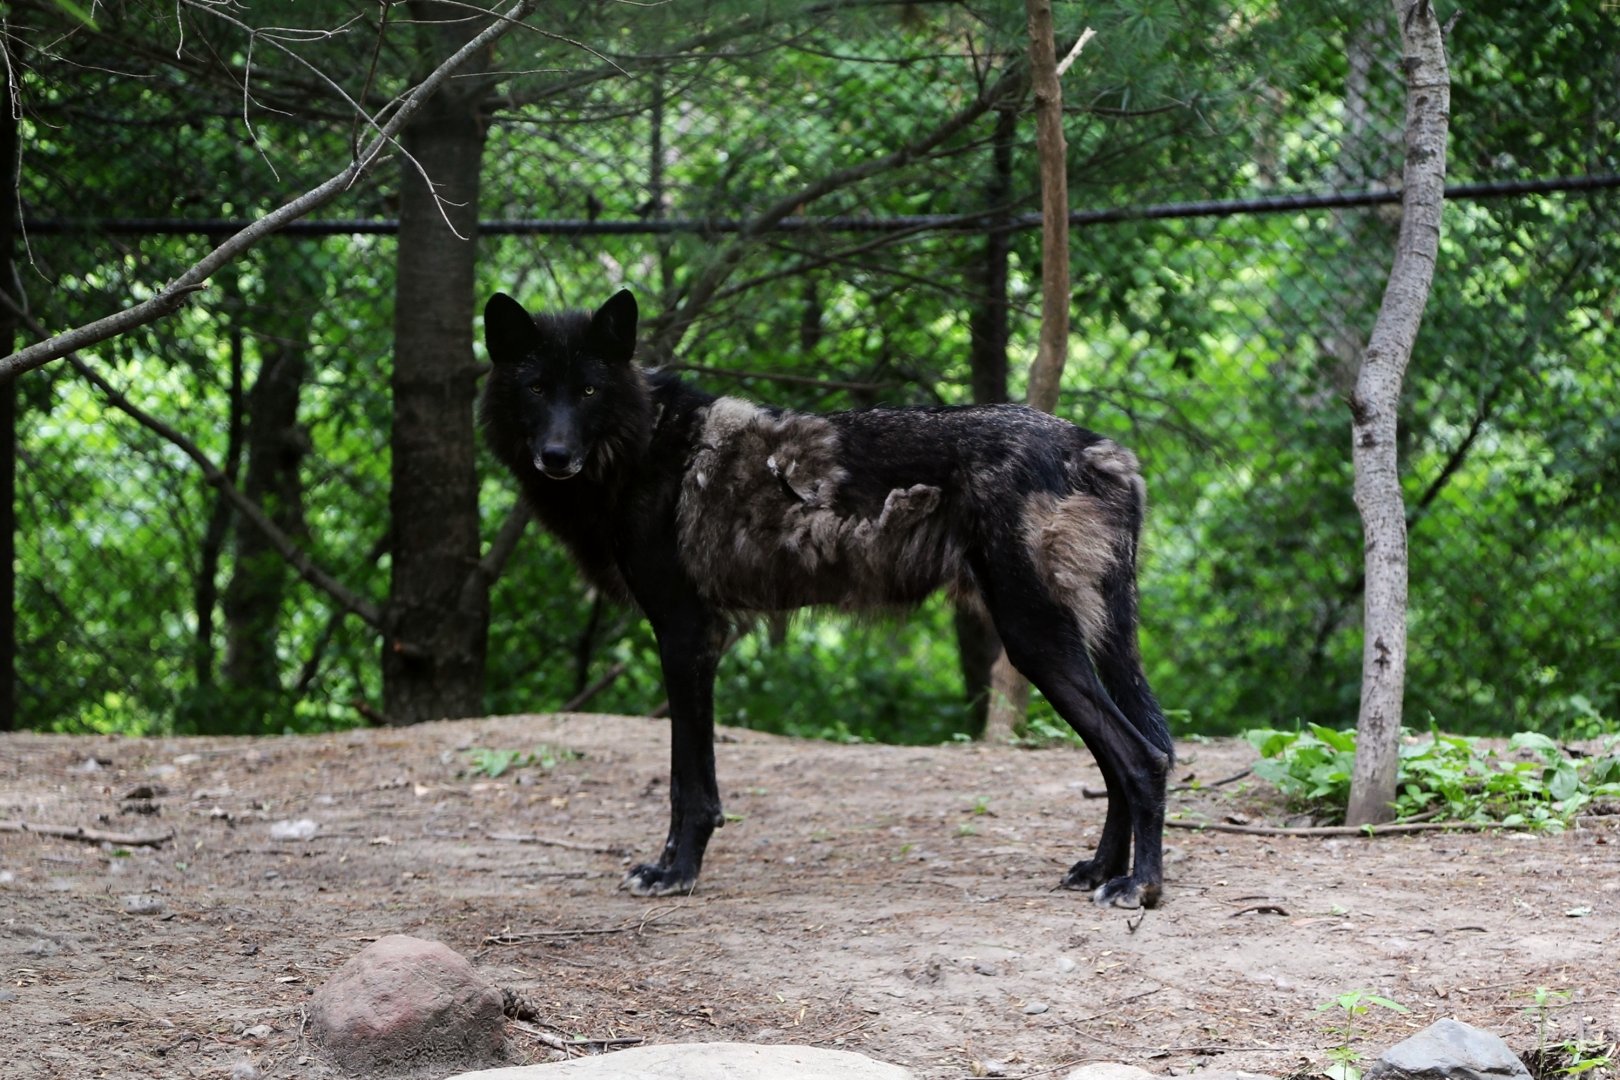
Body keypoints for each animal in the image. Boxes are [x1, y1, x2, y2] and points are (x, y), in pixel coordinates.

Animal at [480, 289, 1174, 908]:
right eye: (536, 389)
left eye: (588, 391)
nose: (556, 456)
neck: (643, 442)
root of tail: (1105, 452)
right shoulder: (695, 640)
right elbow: (688, 779)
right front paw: (675, 866)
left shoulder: (687, 635)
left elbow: (689, 785)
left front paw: (676, 872)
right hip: (1068, 648)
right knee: (1132, 756)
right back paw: (1101, 870)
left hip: (1036, 645)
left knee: (1143, 759)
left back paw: (1139, 886)